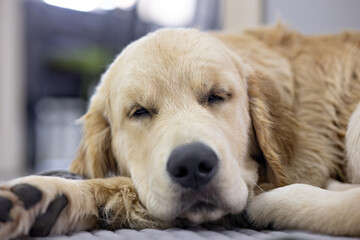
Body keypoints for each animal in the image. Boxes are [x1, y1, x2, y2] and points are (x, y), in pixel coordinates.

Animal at [0, 24, 360, 238]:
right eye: (139, 111)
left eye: (217, 95)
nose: (192, 165)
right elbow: (119, 186)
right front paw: (45, 198)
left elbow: (121, 185)